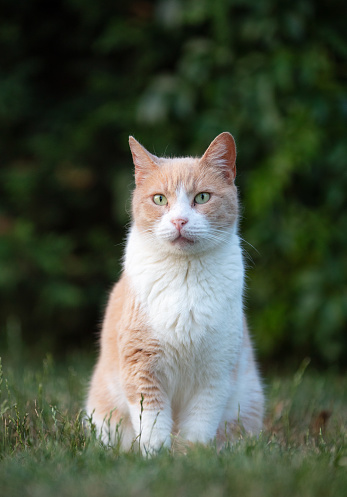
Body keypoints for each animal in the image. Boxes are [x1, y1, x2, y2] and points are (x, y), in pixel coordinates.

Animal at [86, 133, 264, 454]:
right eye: (159, 199)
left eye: (202, 197)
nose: (179, 221)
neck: (185, 276)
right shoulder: (141, 368)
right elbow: (153, 424)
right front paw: (156, 456)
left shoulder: (215, 374)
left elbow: (199, 428)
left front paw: (190, 456)